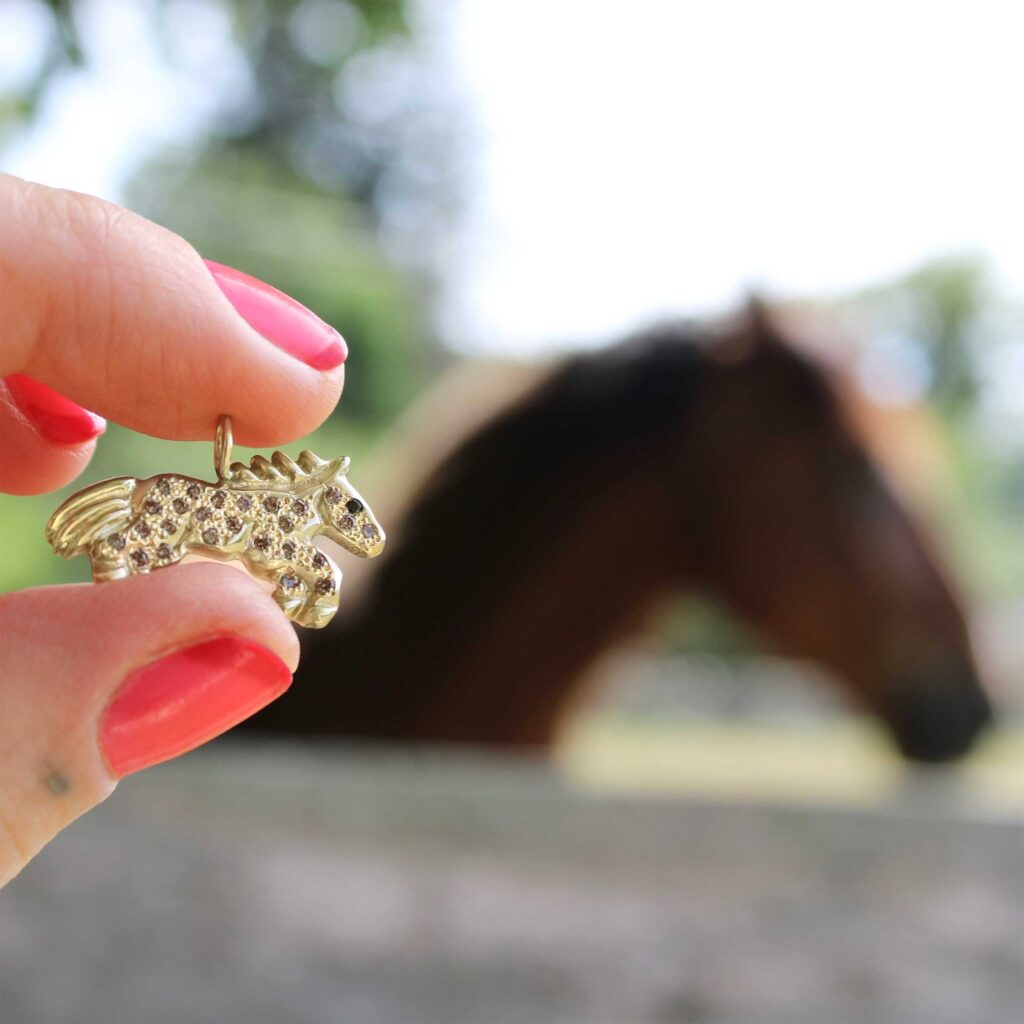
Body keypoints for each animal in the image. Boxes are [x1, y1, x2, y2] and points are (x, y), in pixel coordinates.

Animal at [46, 451, 385, 629]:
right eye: (354, 505)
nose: (378, 543)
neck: (288, 505)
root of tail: (140, 487)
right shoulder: (272, 549)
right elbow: (324, 565)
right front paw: (318, 611)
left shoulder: (276, 561)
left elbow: (302, 578)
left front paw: (293, 606)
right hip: (160, 537)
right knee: (111, 546)